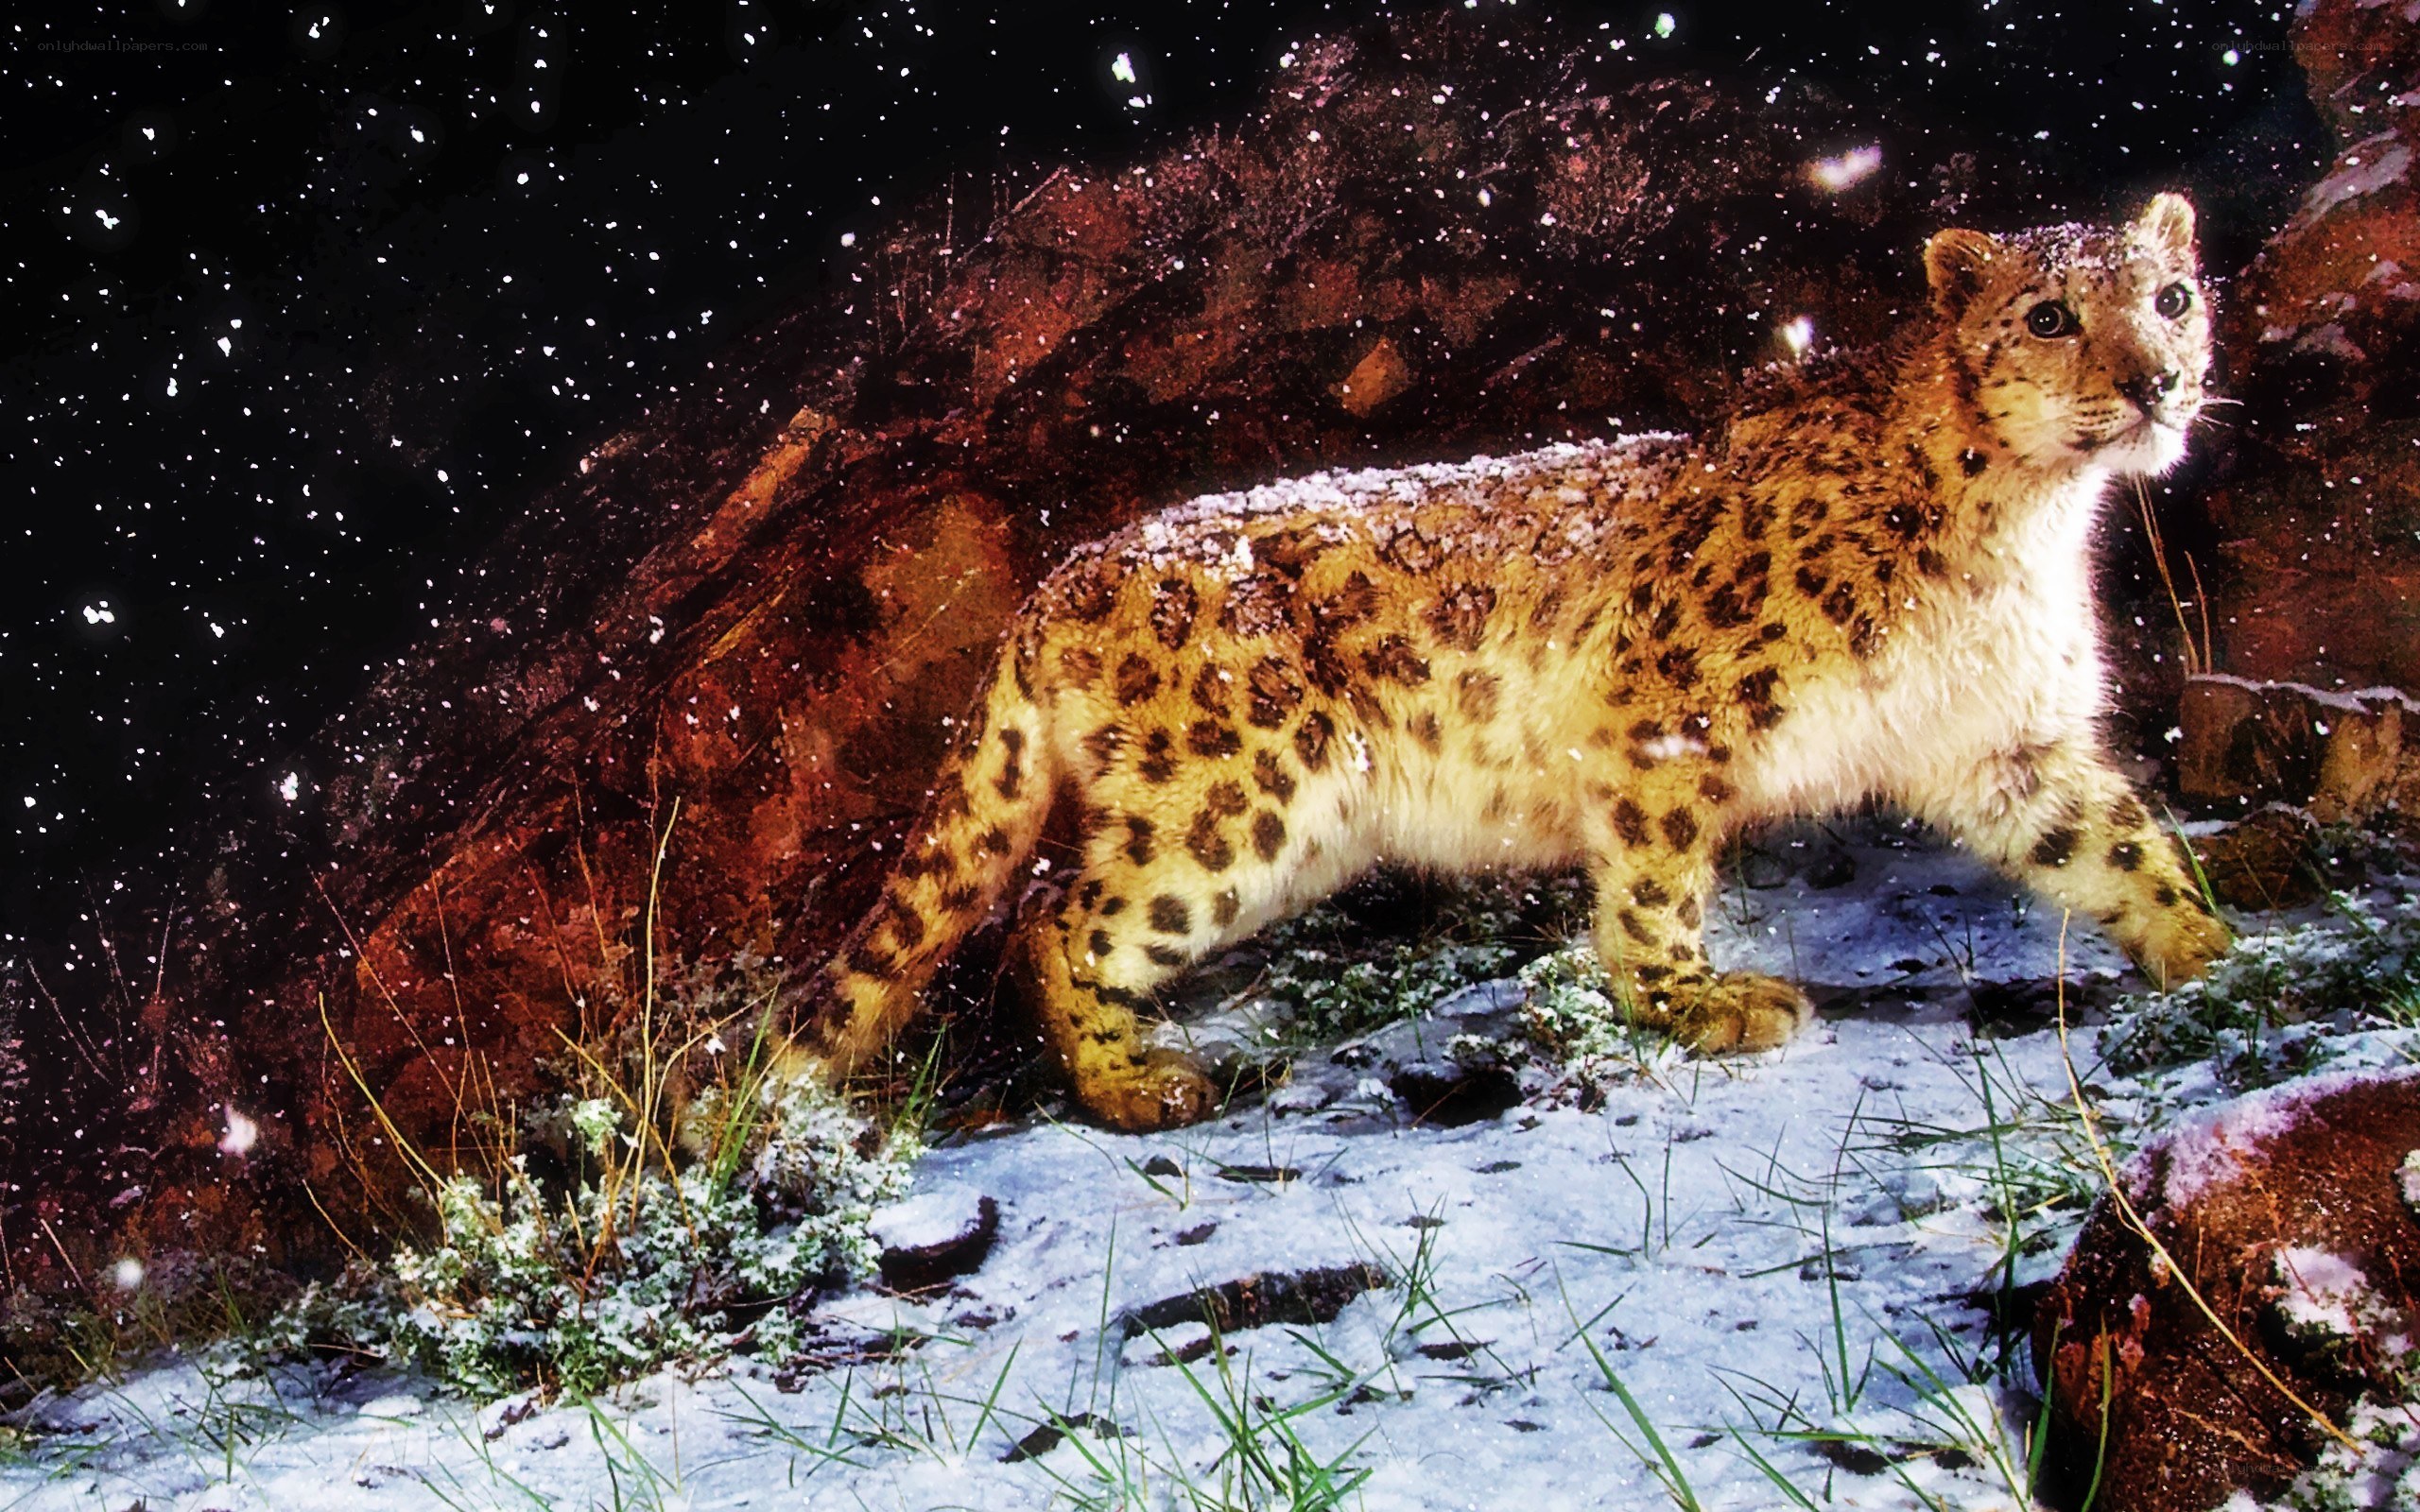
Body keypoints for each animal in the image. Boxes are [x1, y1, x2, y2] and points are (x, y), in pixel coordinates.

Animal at [796, 192, 2231, 1132]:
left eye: (2172, 297)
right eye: (2048, 314)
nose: (2156, 381)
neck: (2028, 529)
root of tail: (1060, 577)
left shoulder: (2001, 739)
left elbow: (2114, 840)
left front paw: (2213, 950)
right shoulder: (1668, 714)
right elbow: (1654, 880)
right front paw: (1693, 1000)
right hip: (1241, 803)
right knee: (1057, 916)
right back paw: (1135, 1083)